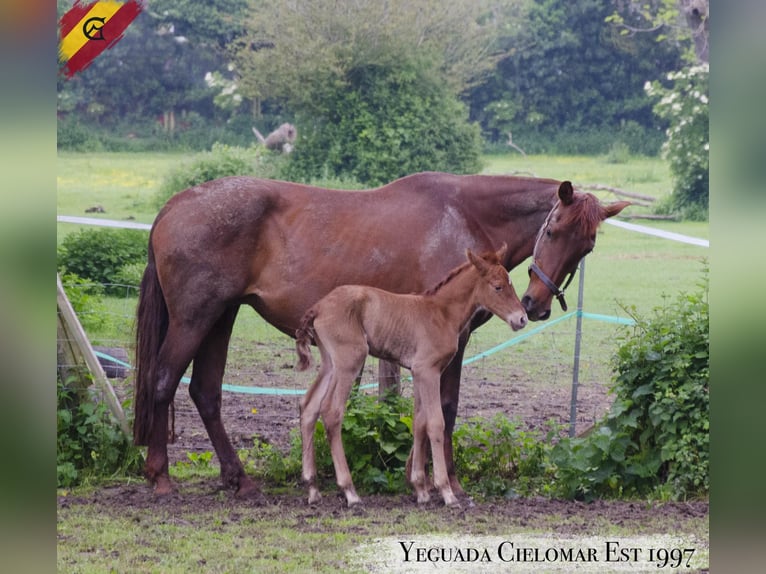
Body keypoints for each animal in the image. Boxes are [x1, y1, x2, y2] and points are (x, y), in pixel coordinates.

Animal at [294, 244, 527, 507]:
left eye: (510, 283)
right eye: (498, 286)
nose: (522, 318)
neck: (442, 313)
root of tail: (319, 307)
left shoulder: (418, 372)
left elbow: (419, 422)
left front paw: (420, 489)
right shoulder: (428, 371)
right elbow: (436, 423)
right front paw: (445, 491)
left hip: (329, 363)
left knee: (309, 406)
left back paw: (312, 488)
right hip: (349, 360)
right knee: (332, 412)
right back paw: (350, 491)